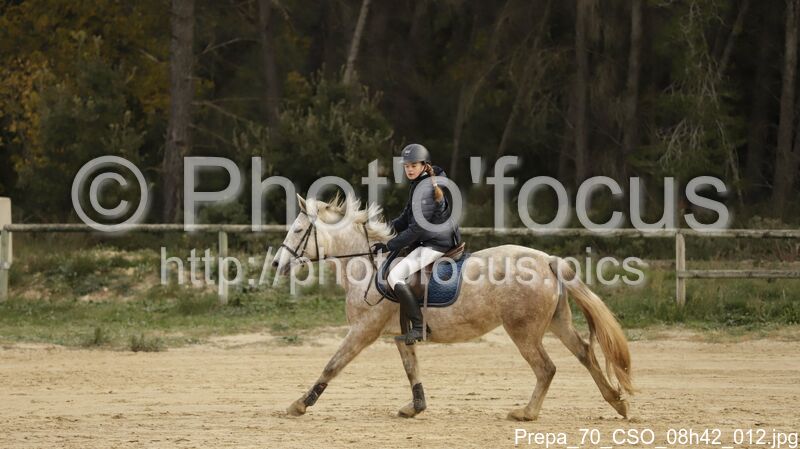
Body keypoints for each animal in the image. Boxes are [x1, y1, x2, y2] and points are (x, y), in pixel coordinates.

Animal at [271, 194, 634, 421]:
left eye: (299, 230)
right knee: (585, 353)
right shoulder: (400, 333)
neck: (366, 267)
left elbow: (332, 366)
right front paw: (415, 408)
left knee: (547, 368)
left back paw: (526, 413)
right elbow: (412, 369)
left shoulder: (363, 331)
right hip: (557, 322)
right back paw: (617, 403)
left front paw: (299, 405)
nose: (277, 264)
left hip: (524, 331)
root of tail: (548, 260)